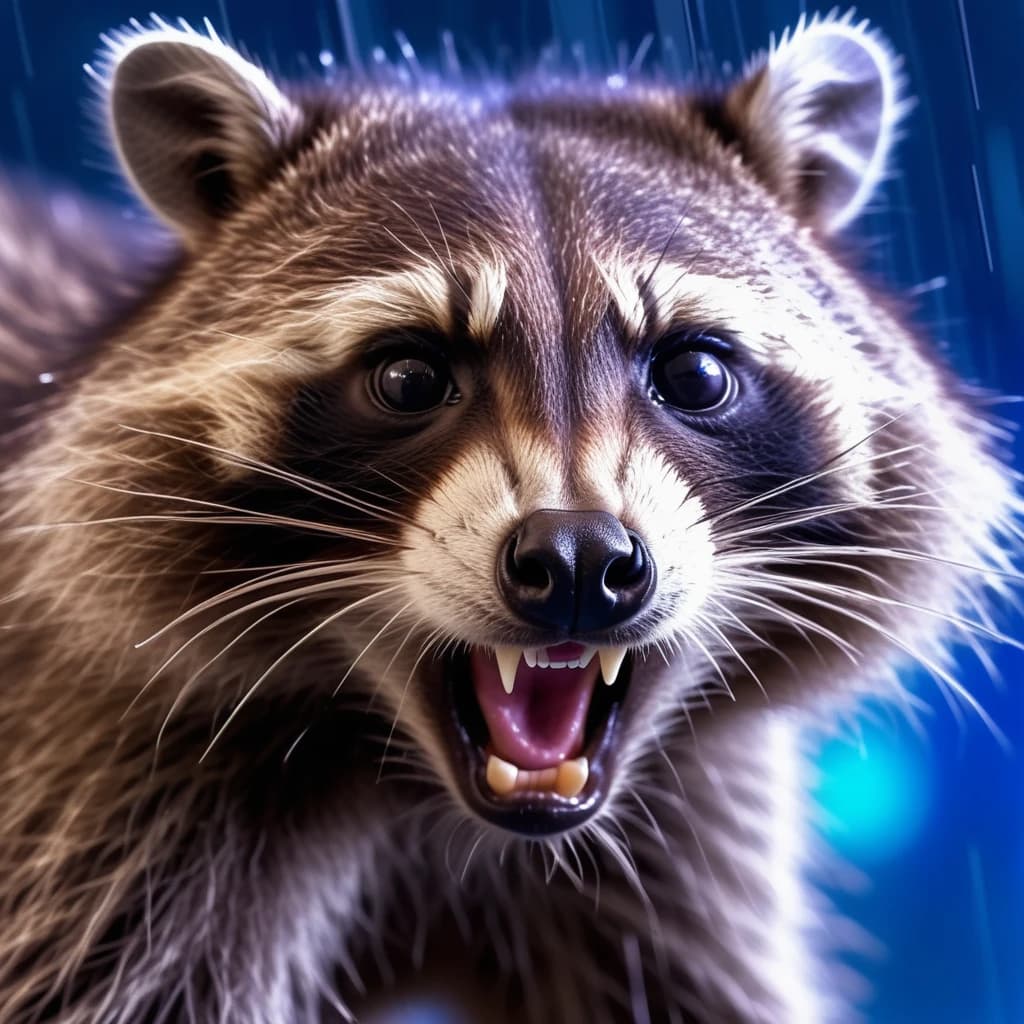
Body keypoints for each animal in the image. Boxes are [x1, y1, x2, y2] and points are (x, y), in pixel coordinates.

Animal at [0, 11, 1017, 1024]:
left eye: (694, 373)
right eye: (410, 377)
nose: (577, 561)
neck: (412, 781)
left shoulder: (686, 830)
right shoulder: (111, 800)